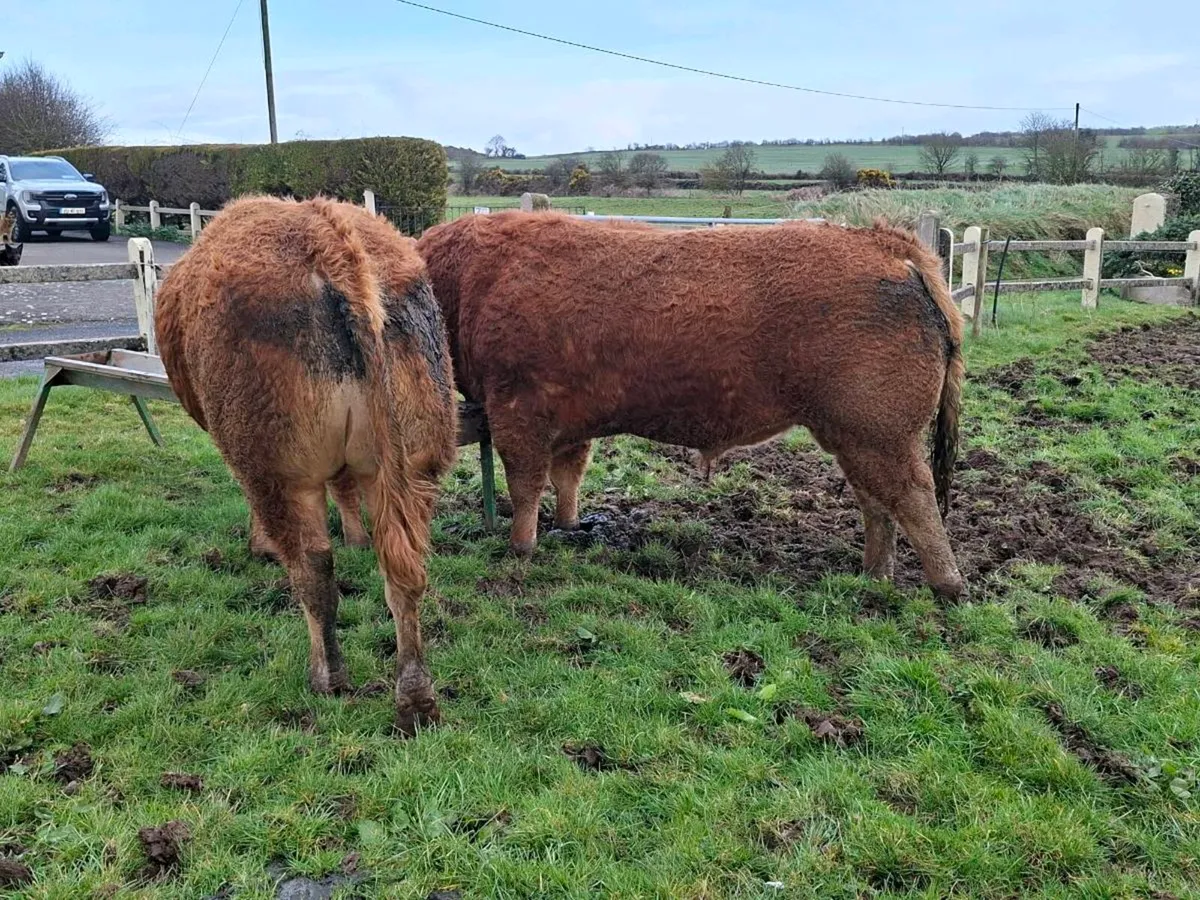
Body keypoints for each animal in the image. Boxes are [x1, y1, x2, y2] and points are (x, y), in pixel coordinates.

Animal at [155, 195, 457, 734]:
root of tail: (330, 239)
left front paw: (259, 544)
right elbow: (347, 494)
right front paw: (356, 536)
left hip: (278, 469)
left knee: (314, 568)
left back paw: (328, 677)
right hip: (415, 464)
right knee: (404, 571)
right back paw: (416, 700)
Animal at [417, 212, 965, 598]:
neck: (471, 282)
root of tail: (887, 245)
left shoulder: (517, 408)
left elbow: (525, 481)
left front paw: (520, 548)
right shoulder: (568, 418)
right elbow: (567, 474)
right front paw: (568, 526)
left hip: (880, 429)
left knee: (914, 495)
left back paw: (948, 587)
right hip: (851, 434)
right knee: (876, 500)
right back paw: (874, 576)